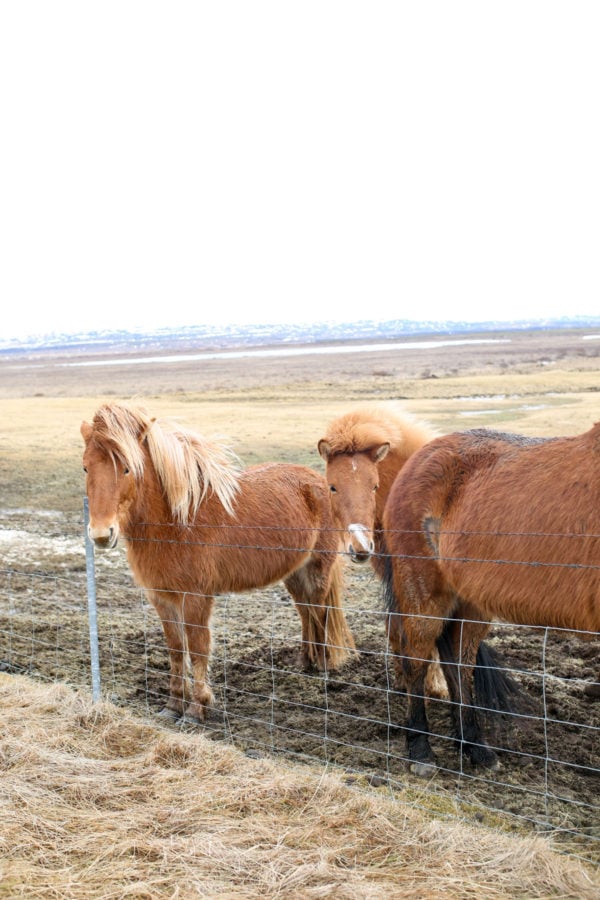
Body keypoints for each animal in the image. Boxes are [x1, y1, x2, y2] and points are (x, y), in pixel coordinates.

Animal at [81, 401, 356, 722]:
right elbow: (176, 649)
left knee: (320, 612)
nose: (101, 534)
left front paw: (197, 708)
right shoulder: (162, 598)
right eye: (86, 467)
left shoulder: (196, 597)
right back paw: (304, 663)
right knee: (305, 611)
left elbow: (198, 647)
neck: (176, 522)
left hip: (317, 570)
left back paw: (323, 668)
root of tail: (318, 482)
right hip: (294, 573)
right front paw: (173, 705)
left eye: (127, 468)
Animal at [383, 424, 600, 775]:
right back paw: (421, 750)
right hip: (423, 595)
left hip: (471, 603)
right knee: (416, 660)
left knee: (459, 663)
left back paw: (474, 747)